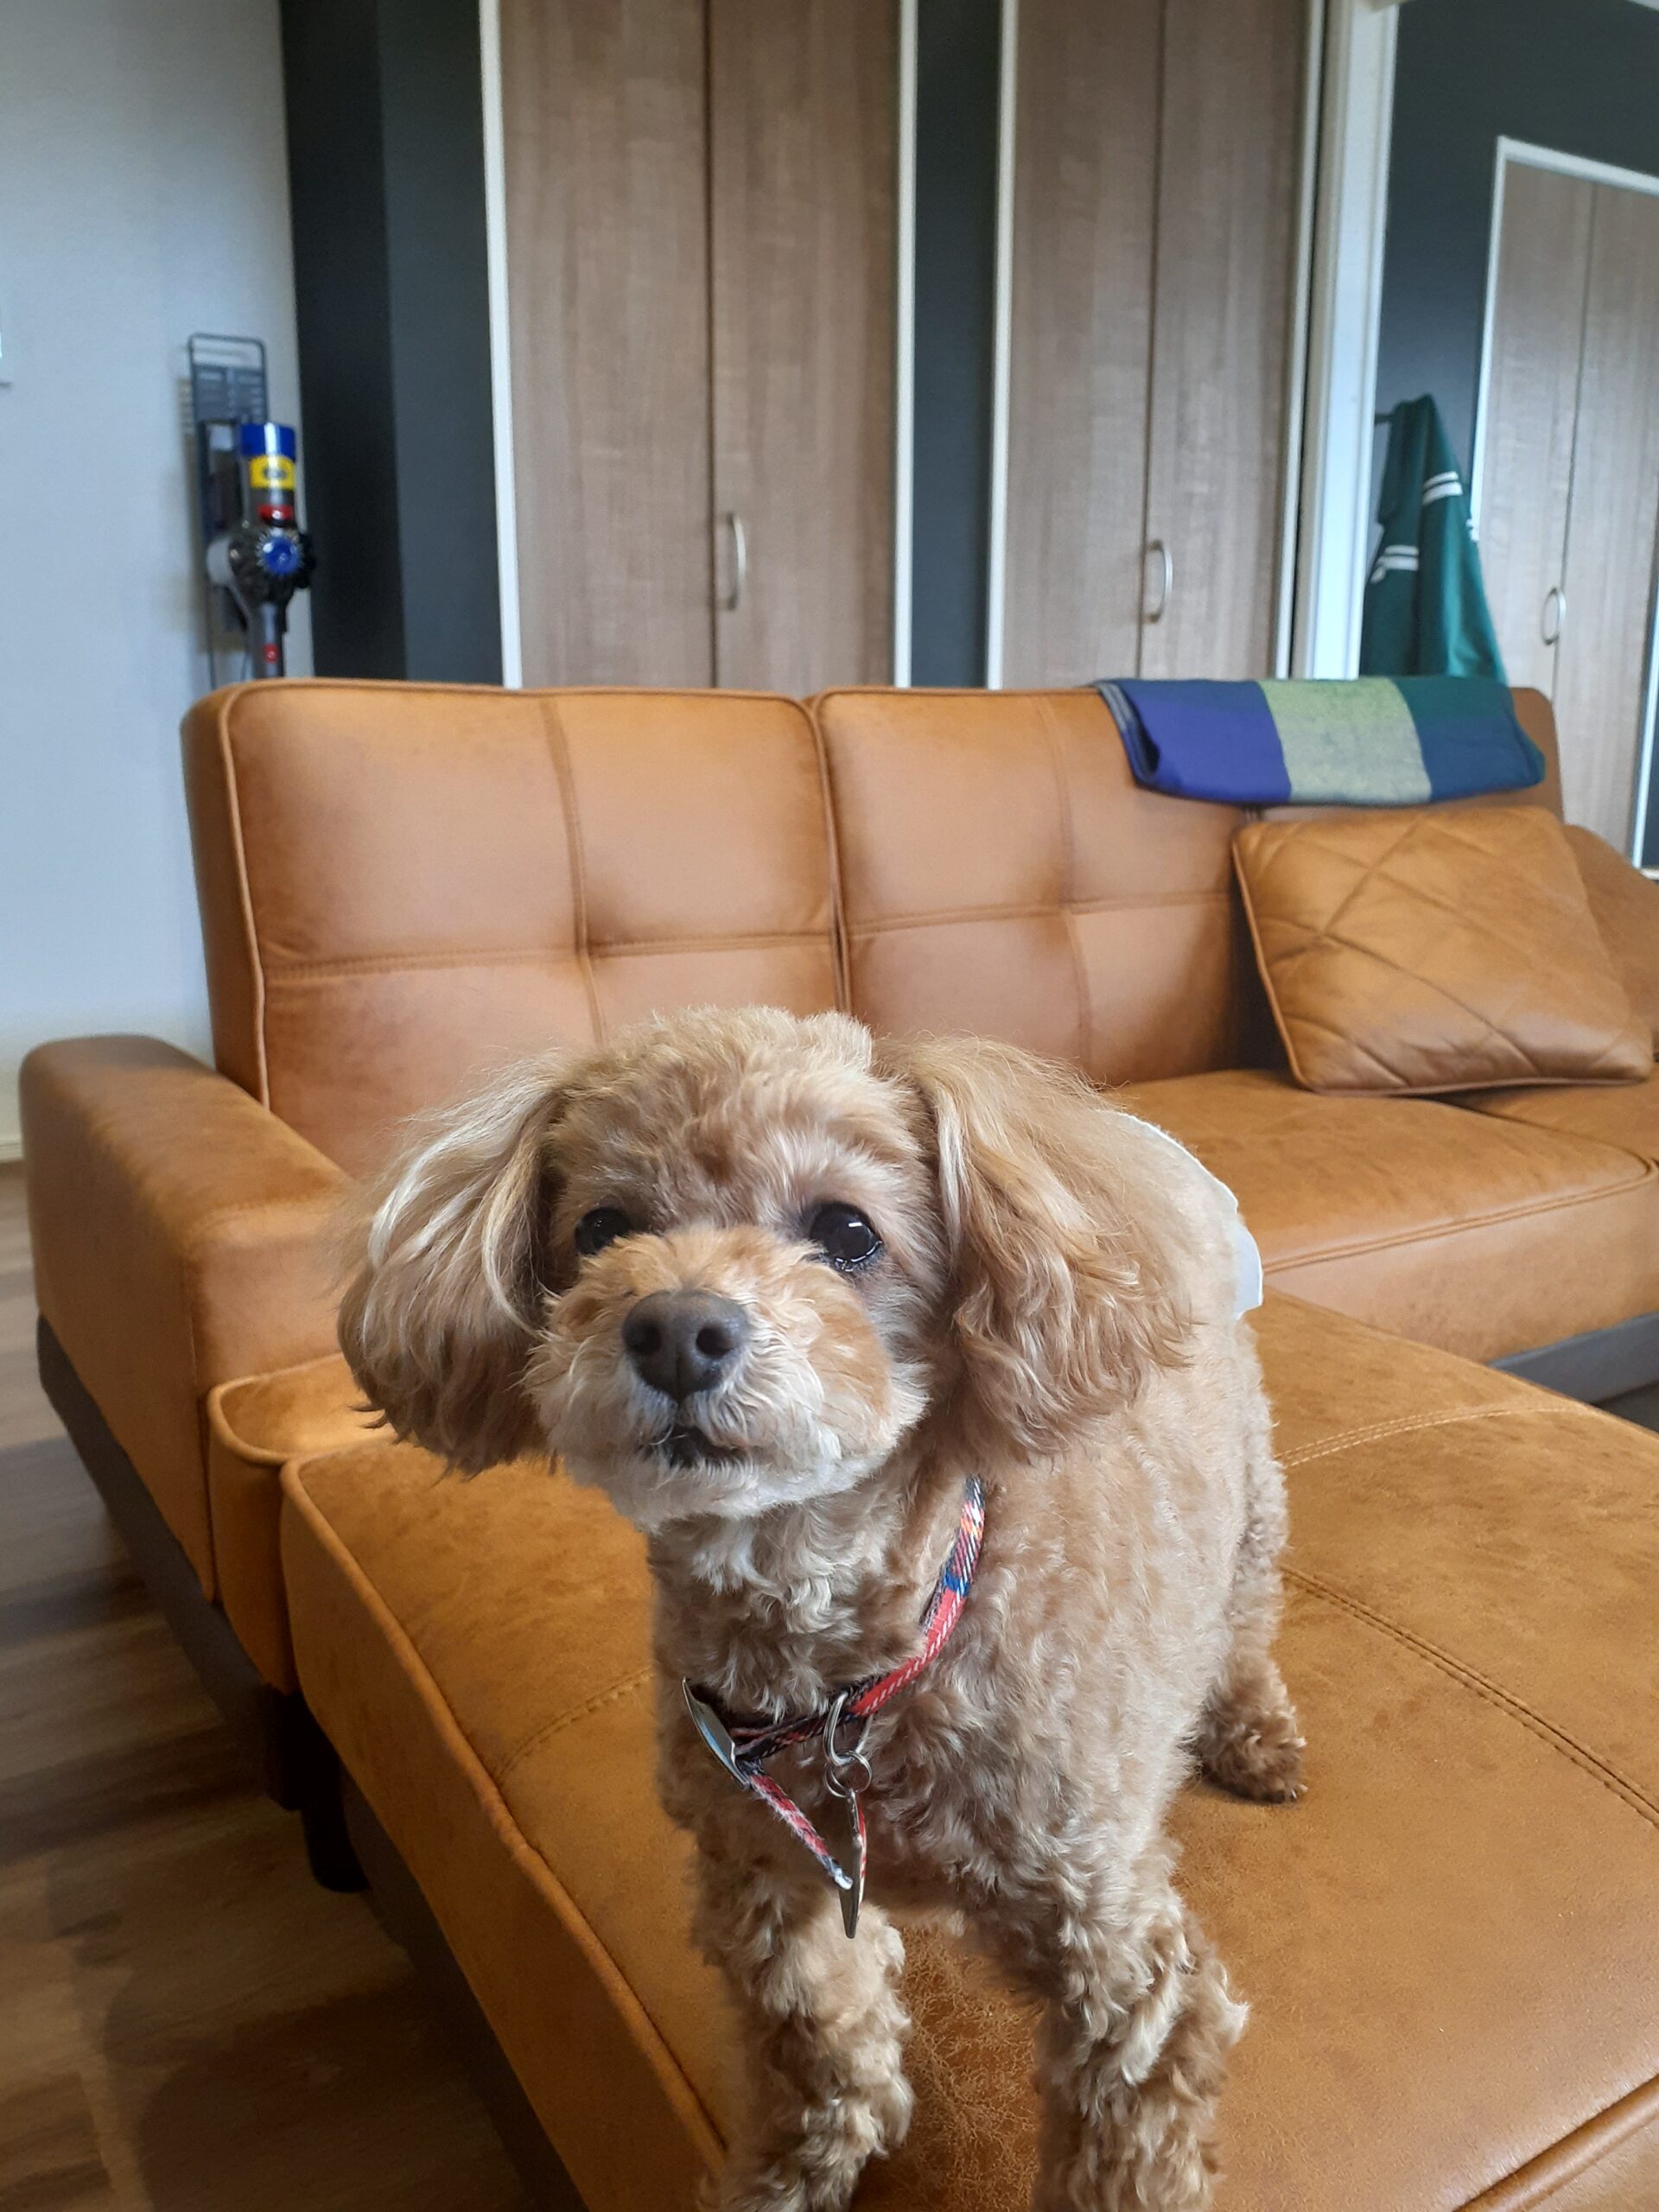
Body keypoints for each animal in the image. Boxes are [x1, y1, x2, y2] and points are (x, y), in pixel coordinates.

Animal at [339, 1006, 1302, 2212]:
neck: (847, 1673)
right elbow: (818, 2044)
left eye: (846, 1230)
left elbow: (1124, 2157)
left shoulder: (1123, 1972)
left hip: (1252, 1500)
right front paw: (793, 2174)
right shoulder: (762, 1877)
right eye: (602, 1228)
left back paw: (1252, 1733)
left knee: (1248, 1620)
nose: (675, 1328)